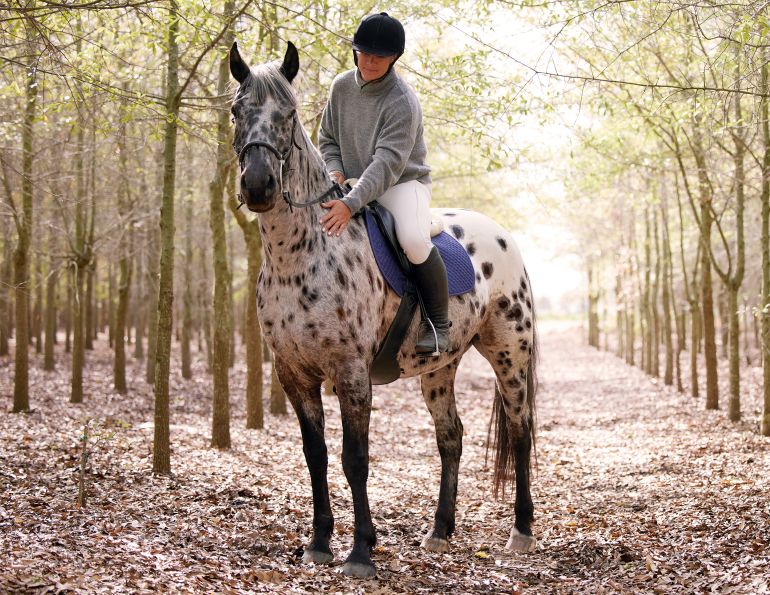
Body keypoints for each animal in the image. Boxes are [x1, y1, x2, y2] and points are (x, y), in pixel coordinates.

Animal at [229, 41, 538, 578]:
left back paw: (519, 531)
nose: (259, 187)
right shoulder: (293, 373)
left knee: (518, 431)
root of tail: (502, 235)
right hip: (440, 368)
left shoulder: (351, 372)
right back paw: (440, 532)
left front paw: (360, 553)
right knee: (450, 436)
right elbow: (316, 455)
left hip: (509, 356)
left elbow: (355, 459)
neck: (301, 254)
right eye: (235, 111)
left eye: (289, 114)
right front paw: (319, 543)